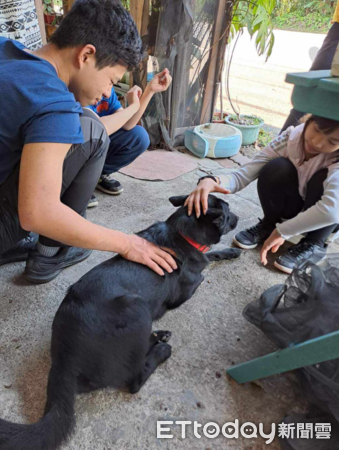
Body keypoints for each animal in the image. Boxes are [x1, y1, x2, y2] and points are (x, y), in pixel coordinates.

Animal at [0, 194, 240, 450]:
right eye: (229, 212)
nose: (238, 218)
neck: (182, 232)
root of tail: (64, 359)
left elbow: (212, 255)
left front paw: (230, 252)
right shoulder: (184, 292)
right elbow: (203, 271)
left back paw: (158, 336)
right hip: (137, 308)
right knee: (134, 380)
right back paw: (161, 350)